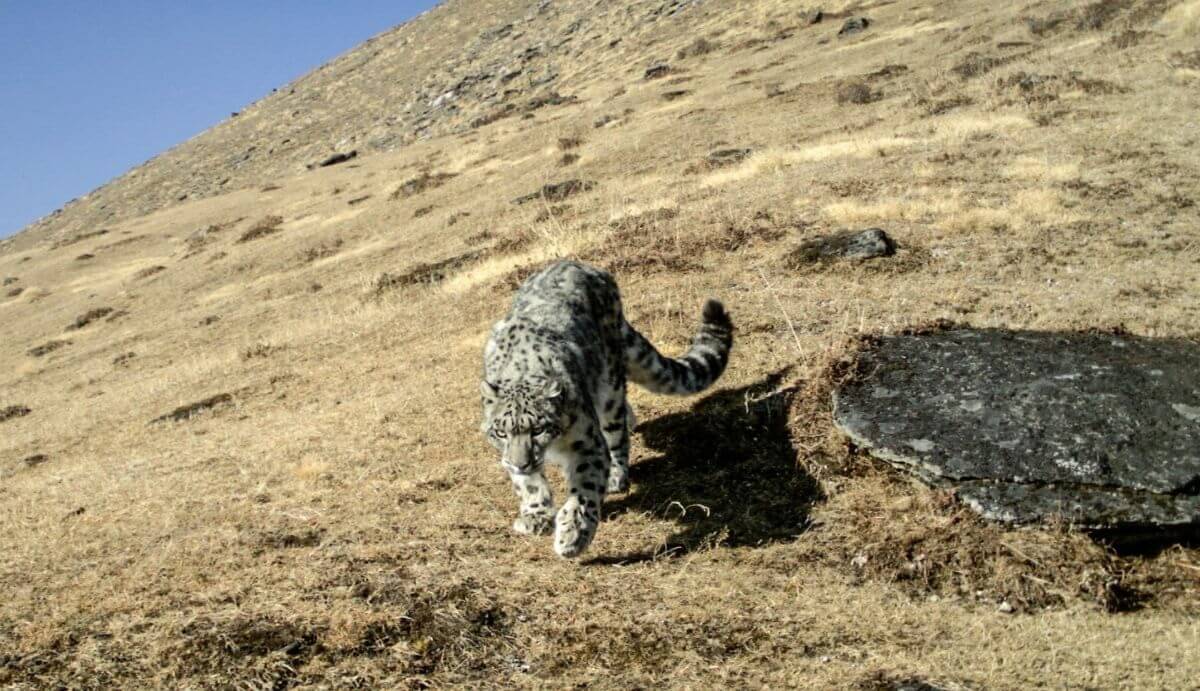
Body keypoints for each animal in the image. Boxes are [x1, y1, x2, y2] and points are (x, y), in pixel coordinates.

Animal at [477, 259, 729, 556]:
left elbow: (585, 489)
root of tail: (583, 265)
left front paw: (572, 535)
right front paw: (536, 516)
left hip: (609, 388)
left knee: (616, 433)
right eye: (500, 432)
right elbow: (528, 485)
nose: (521, 463)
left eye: (538, 429)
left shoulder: (586, 441)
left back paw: (617, 476)